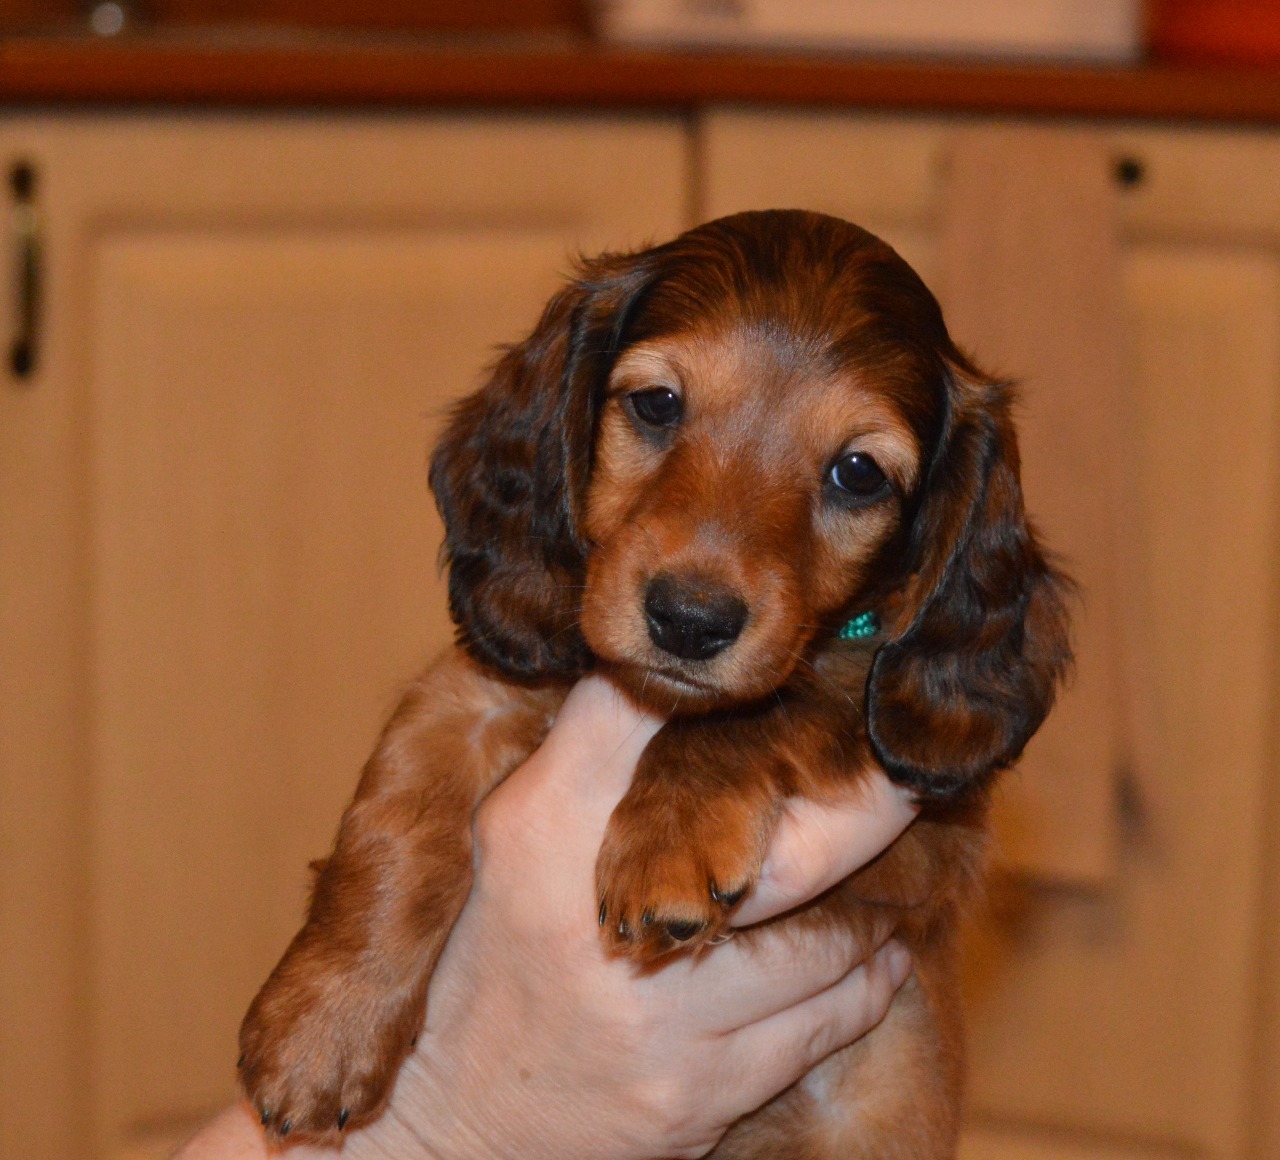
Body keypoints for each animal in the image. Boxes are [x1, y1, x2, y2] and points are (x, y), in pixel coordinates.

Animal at [238, 209, 1071, 1157]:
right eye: (657, 404)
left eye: (858, 472)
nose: (689, 621)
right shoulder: (477, 691)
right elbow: (395, 815)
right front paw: (322, 1022)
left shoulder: (926, 834)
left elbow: (771, 706)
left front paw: (670, 838)